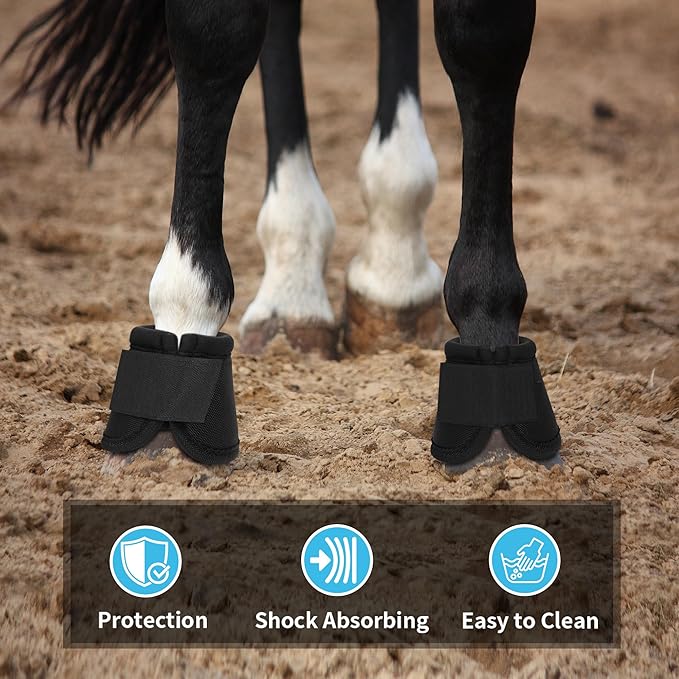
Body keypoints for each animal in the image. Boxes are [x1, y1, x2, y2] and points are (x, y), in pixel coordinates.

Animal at [2, 0, 561, 469]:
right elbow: (213, 34)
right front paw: (187, 309)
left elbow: (484, 39)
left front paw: (488, 321)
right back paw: (301, 281)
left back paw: (393, 262)